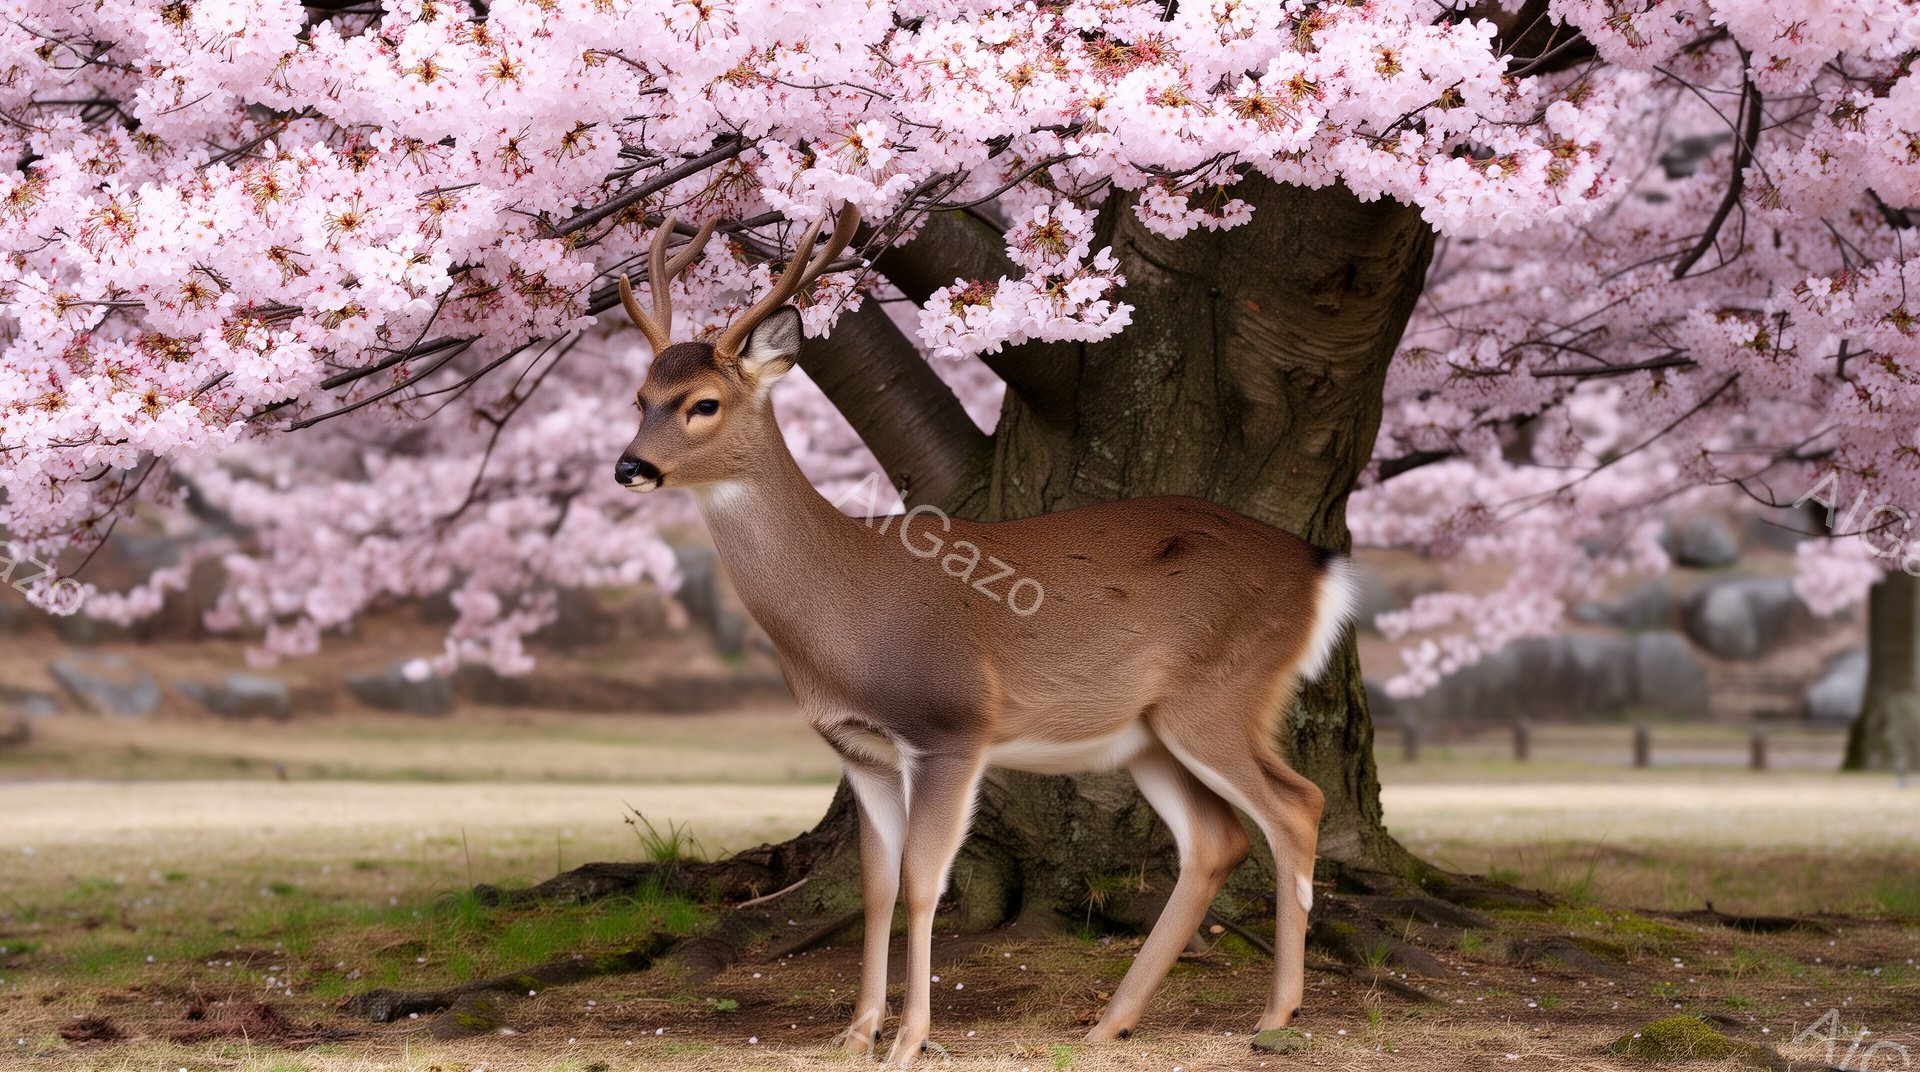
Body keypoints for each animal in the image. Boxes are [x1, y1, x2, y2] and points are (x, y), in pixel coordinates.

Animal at [611, 204, 1358, 1066]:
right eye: (639, 396)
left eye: (702, 403)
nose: (629, 468)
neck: (843, 613)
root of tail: (1321, 569)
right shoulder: (861, 749)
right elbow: (876, 886)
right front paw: (855, 1033)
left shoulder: (951, 727)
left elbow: (922, 882)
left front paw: (908, 1040)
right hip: (1147, 732)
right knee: (1216, 839)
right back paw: (1111, 1021)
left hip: (1223, 693)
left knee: (1297, 805)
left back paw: (1276, 1014)